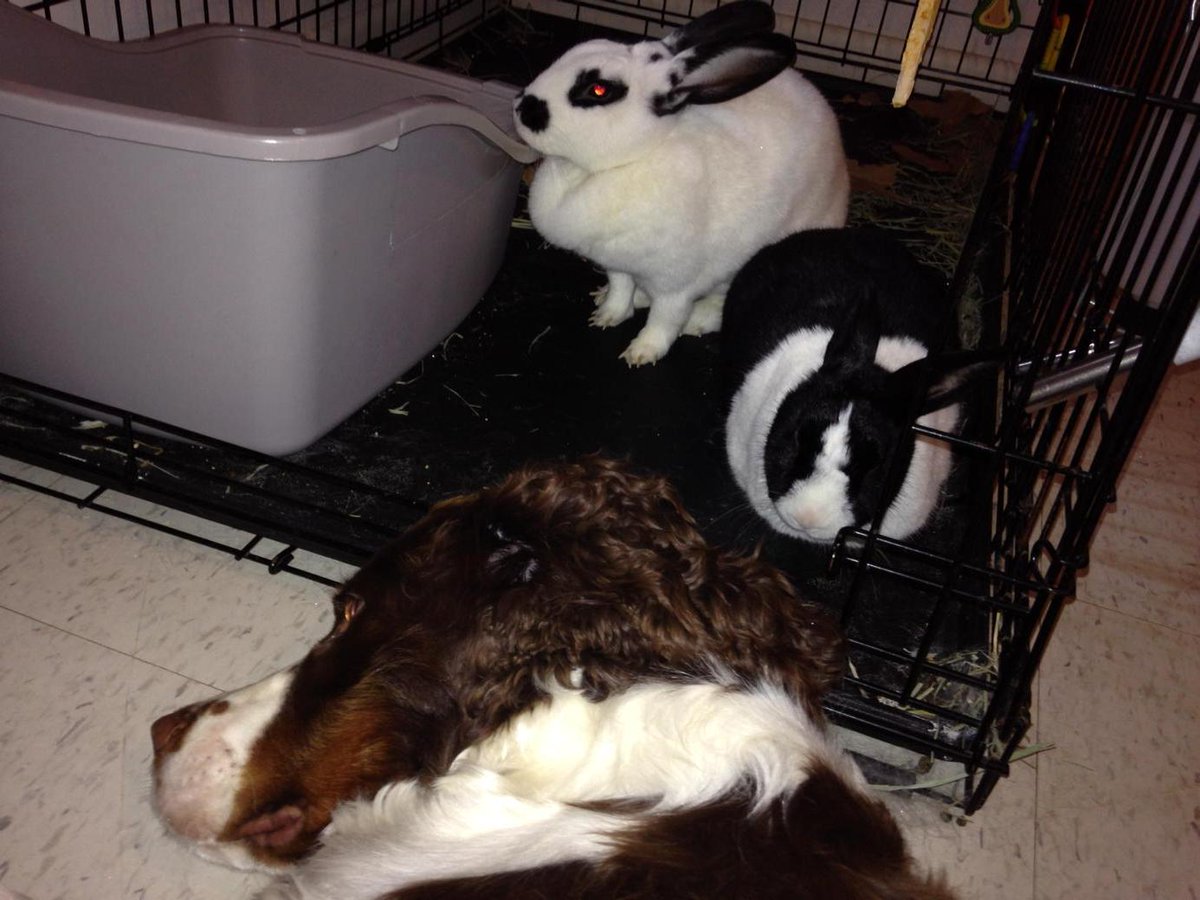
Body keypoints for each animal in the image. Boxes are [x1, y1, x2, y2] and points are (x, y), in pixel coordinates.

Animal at [512, 1, 849, 366]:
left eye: (599, 90)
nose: (520, 106)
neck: (630, 159)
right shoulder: (617, 265)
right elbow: (620, 289)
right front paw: (607, 315)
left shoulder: (675, 285)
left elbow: (665, 319)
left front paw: (641, 353)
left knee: (721, 303)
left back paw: (696, 320)